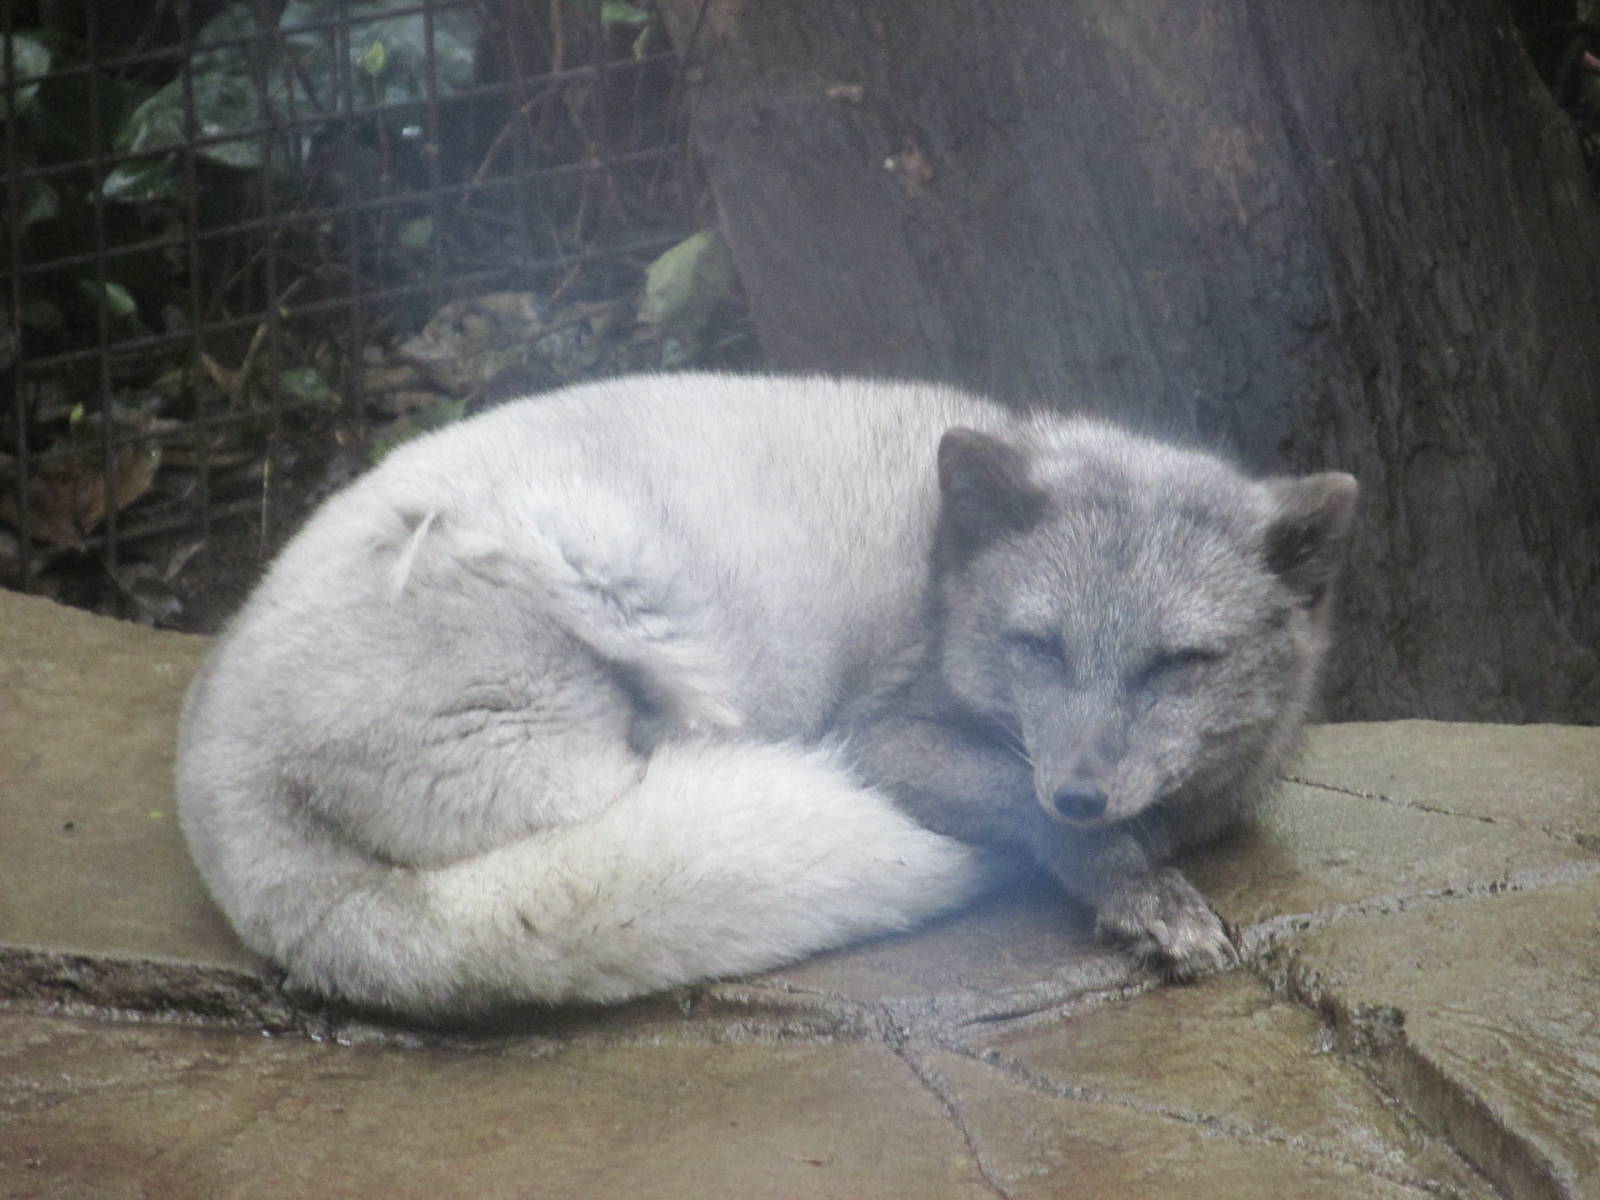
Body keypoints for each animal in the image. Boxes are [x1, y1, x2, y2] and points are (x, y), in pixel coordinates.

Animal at [176, 372, 1357, 1021]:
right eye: (1039, 645)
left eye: (1179, 663)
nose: (1079, 791)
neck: (941, 583)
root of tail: (213, 758)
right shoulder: (886, 737)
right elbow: (1040, 817)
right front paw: (1140, 889)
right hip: (614, 617)